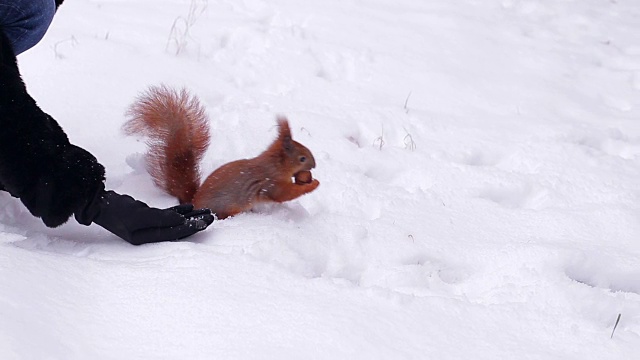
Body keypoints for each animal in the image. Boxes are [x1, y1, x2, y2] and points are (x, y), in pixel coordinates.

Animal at [123, 84, 320, 219]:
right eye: (302, 158)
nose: (314, 165)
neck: (275, 164)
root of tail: (194, 203)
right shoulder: (270, 183)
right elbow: (284, 194)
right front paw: (313, 184)